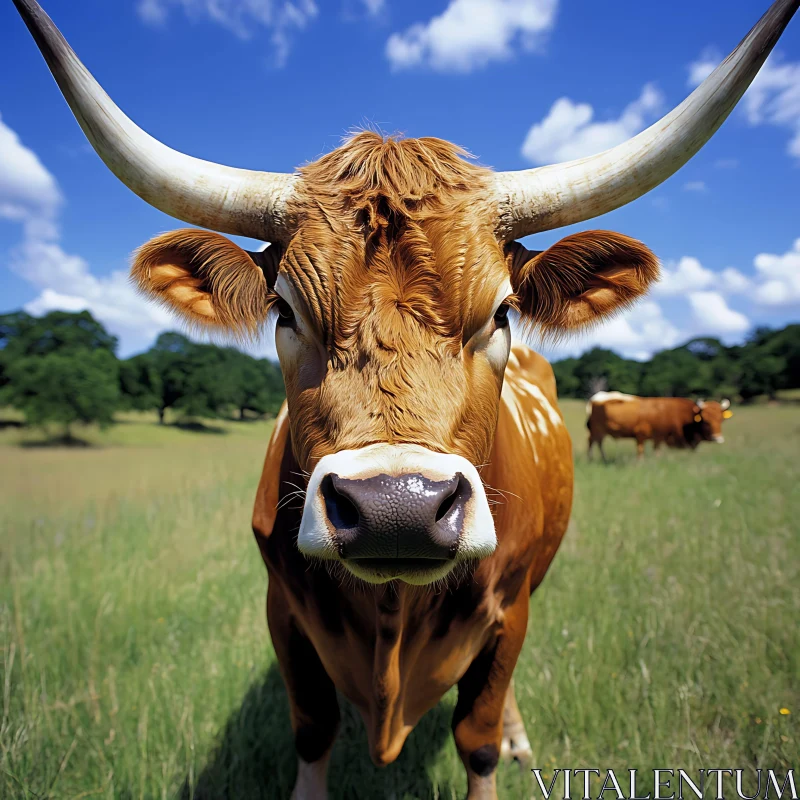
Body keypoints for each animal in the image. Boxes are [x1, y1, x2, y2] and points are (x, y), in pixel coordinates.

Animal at [584, 390, 736, 460]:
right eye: (705, 420)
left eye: (721, 420)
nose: (718, 438)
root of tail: (597, 396)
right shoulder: (643, 433)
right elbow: (641, 451)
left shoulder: (658, 437)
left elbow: (656, 450)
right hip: (597, 429)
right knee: (592, 441)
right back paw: (592, 458)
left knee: (598, 443)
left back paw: (603, 459)